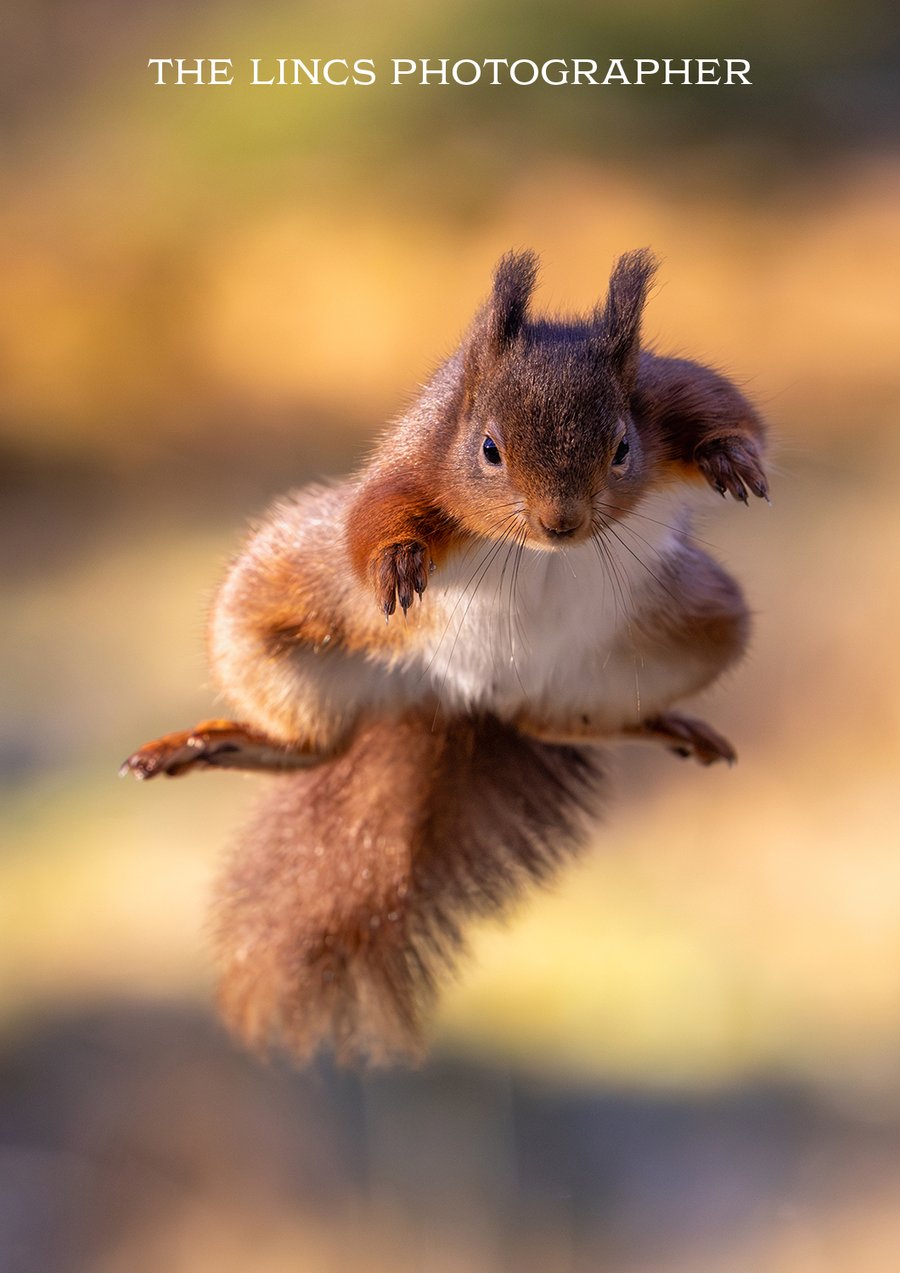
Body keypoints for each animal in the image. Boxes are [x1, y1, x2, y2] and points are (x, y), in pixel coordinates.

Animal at [121, 248, 768, 1064]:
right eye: (488, 449)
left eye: (623, 448)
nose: (561, 522)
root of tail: (463, 699)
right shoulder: (418, 462)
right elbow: (375, 521)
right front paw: (396, 561)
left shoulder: (665, 392)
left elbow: (729, 406)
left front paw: (732, 456)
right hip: (272, 614)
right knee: (311, 744)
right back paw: (211, 742)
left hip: (696, 625)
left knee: (550, 720)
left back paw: (660, 725)